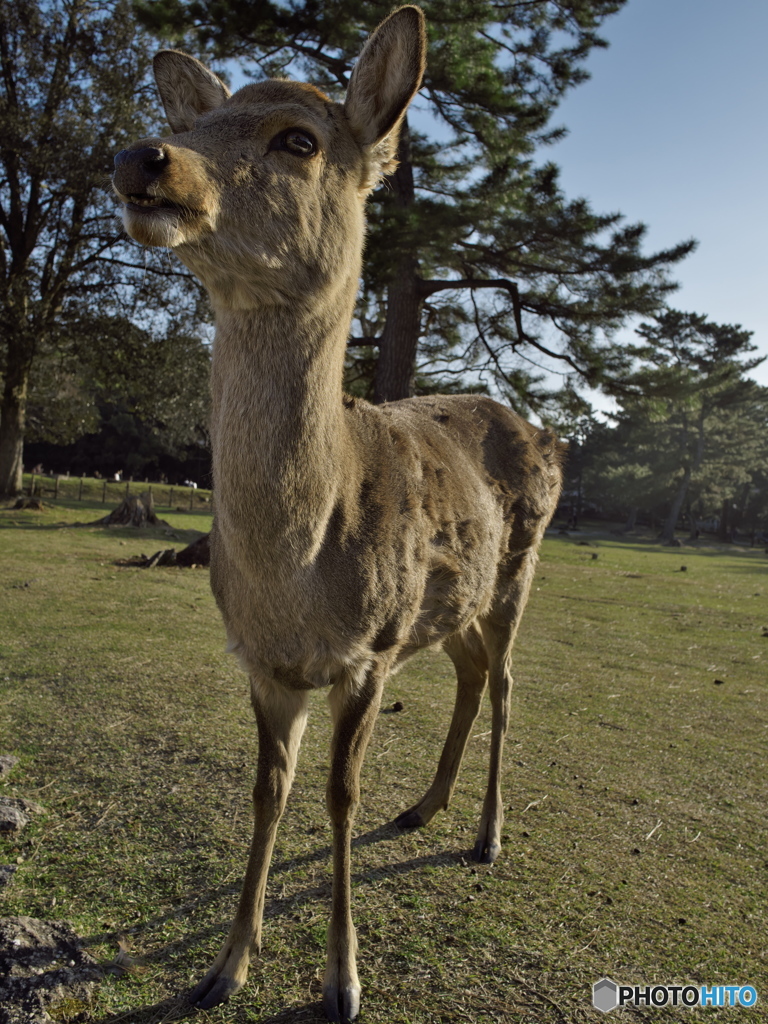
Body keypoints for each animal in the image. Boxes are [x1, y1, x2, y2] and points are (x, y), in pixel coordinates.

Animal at [109, 6, 565, 1015]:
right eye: (202, 121)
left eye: (299, 139)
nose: (143, 156)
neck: (298, 573)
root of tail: (546, 432)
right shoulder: (263, 660)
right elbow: (266, 794)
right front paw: (223, 968)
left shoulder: (371, 651)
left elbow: (337, 797)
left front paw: (342, 982)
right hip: (454, 602)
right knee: (473, 673)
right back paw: (427, 808)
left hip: (519, 570)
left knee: (509, 682)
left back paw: (486, 836)